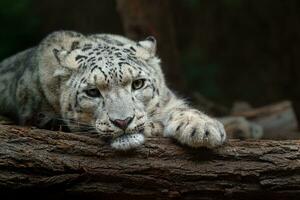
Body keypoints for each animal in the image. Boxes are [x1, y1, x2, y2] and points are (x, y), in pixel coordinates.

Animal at [0, 30, 225, 150]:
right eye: (92, 92)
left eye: (138, 83)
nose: (123, 121)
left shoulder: (169, 99)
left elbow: (180, 107)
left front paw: (203, 129)